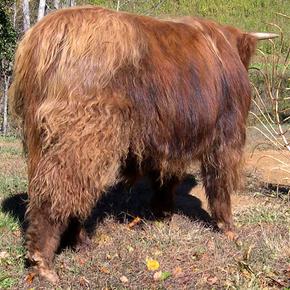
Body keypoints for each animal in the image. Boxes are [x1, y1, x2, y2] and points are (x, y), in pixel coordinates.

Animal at [8, 5, 276, 282]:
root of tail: (49, 31)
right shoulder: (226, 135)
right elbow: (220, 183)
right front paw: (228, 227)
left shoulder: (169, 141)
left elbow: (165, 178)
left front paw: (162, 214)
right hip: (82, 138)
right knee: (56, 196)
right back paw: (44, 263)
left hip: (39, 139)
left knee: (60, 192)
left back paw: (80, 242)